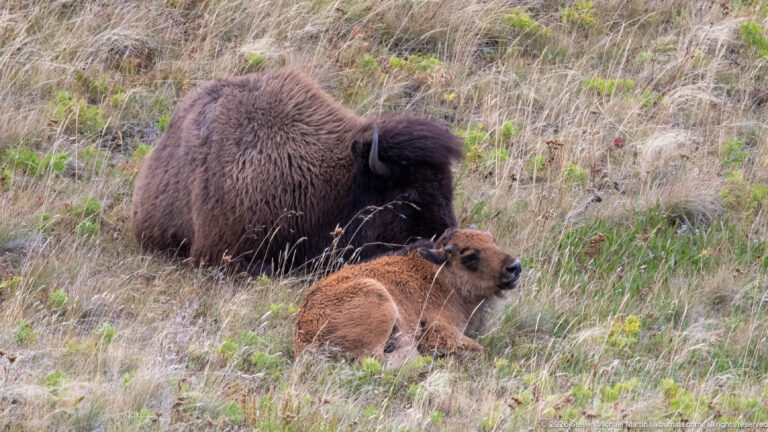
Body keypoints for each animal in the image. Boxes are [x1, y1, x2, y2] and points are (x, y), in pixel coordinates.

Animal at [293, 228, 522, 368]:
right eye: (469, 256)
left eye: (493, 241)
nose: (515, 267)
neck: (437, 275)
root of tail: (303, 334)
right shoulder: (440, 331)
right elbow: (479, 349)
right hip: (381, 301)